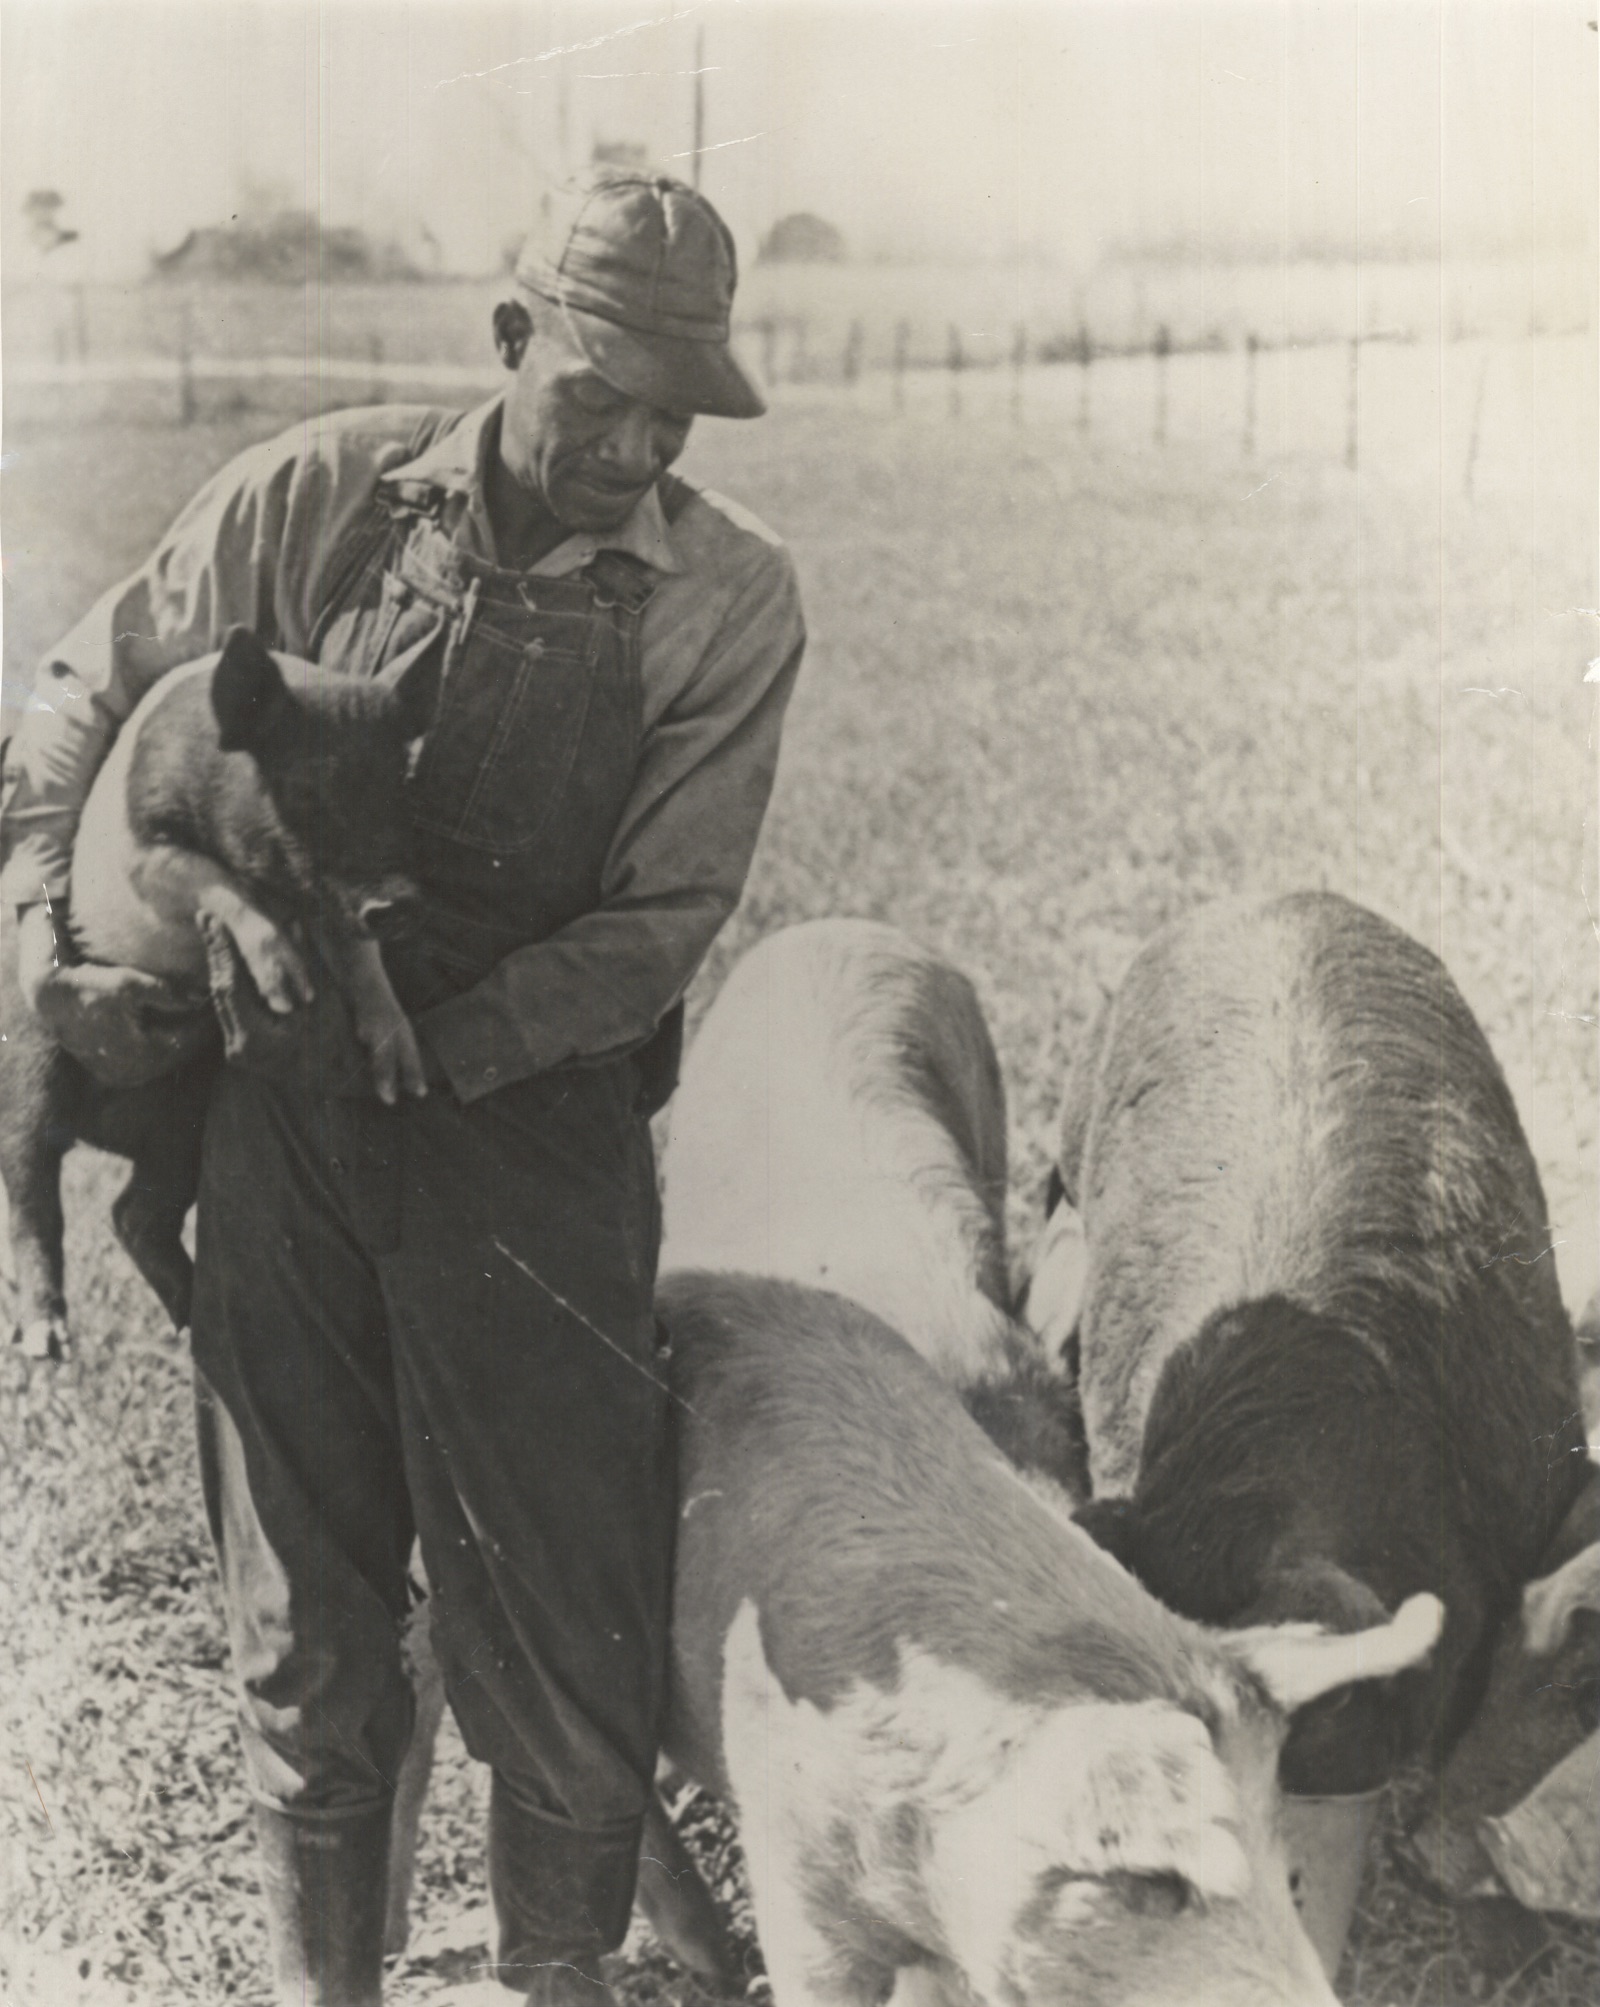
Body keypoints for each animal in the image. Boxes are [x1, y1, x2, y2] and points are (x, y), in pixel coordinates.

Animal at [0, 618, 433, 1356]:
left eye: (401, 789)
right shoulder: (149, 846)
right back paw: (47, 1338)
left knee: (133, 1212)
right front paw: (287, 985)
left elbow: (359, 957)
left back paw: (187, 1322)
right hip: (33, 1059)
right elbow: (221, 885)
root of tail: (104, 1127)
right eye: (307, 791)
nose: (399, 902)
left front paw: (403, 1078)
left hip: (186, 1115)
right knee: (31, 1188)